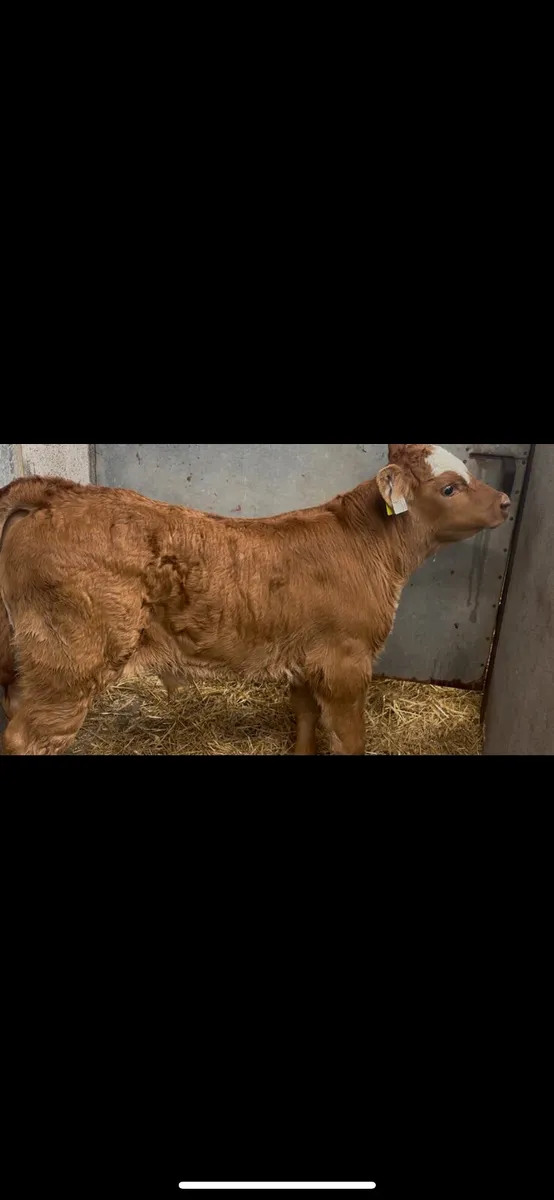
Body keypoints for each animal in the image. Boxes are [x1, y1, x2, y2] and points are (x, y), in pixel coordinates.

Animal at [0, 444, 511, 756]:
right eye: (449, 488)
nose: (506, 501)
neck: (364, 543)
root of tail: (56, 493)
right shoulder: (346, 663)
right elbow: (349, 738)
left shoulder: (307, 659)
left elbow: (305, 718)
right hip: (68, 665)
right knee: (25, 738)